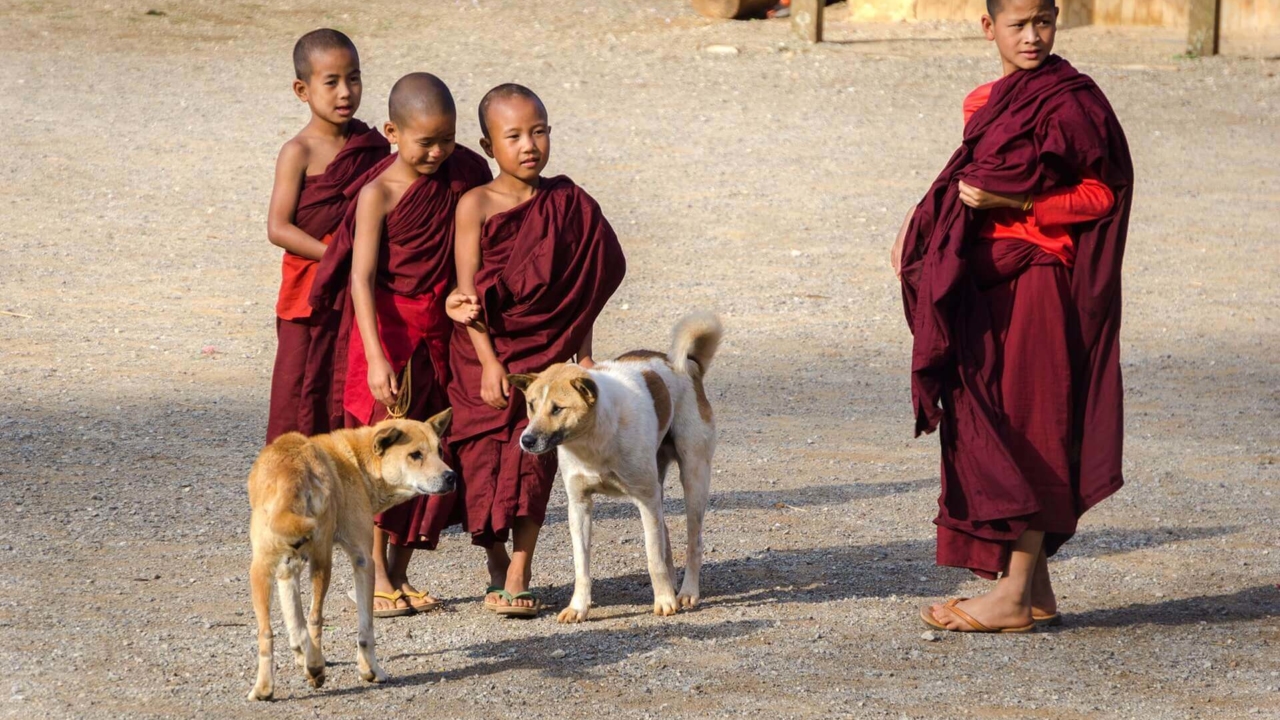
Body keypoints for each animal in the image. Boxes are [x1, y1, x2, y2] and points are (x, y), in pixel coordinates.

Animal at [245, 412, 456, 701]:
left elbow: (294, 623)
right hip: (323, 562)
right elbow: (365, 629)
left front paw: (301, 656)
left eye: (440, 450)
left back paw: (266, 687)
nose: (452, 476)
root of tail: (291, 472)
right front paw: (370, 670)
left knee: (266, 632)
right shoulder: (363, 560)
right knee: (315, 618)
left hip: (261, 570)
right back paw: (316, 667)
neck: (359, 462)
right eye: (415, 455)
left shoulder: (288, 568)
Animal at [509, 312, 721, 622]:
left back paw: (685, 592)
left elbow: (653, 557)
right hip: (658, 484)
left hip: (693, 478)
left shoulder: (645, 500)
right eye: (531, 405)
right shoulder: (579, 505)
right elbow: (581, 565)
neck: (593, 443)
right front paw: (578, 607)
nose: (526, 440)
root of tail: (690, 365)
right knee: (666, 536)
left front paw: (664, 601)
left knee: (693, 542)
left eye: (557, 408)